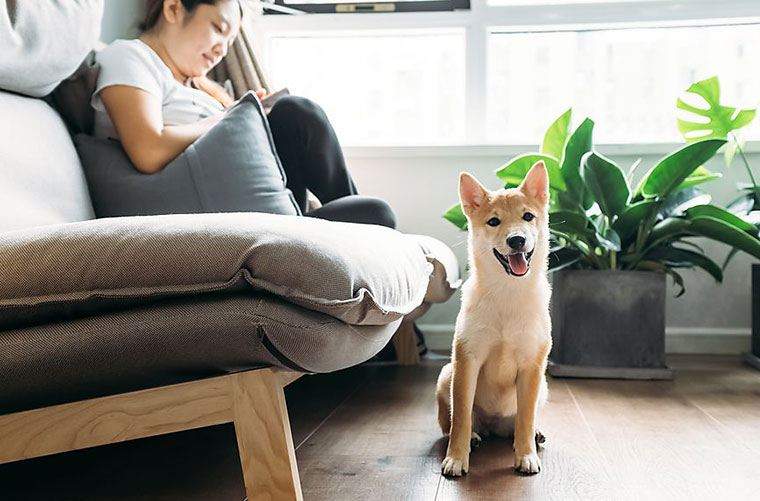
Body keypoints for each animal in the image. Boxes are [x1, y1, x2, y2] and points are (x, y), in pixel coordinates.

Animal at [436, 161, 556, 476]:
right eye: (493, 222)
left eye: (528, 216)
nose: (517, 240)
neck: (507, 292)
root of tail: (494, 425)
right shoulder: (467, 360)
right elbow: (460, 418)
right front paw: (456, 458)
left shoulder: (532, 365)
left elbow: (525, 417)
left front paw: (526, 455)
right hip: (446, 374)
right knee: (451, 423)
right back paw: (475, 436)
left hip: (543, 386)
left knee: (523, 421)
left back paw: (535, 434)